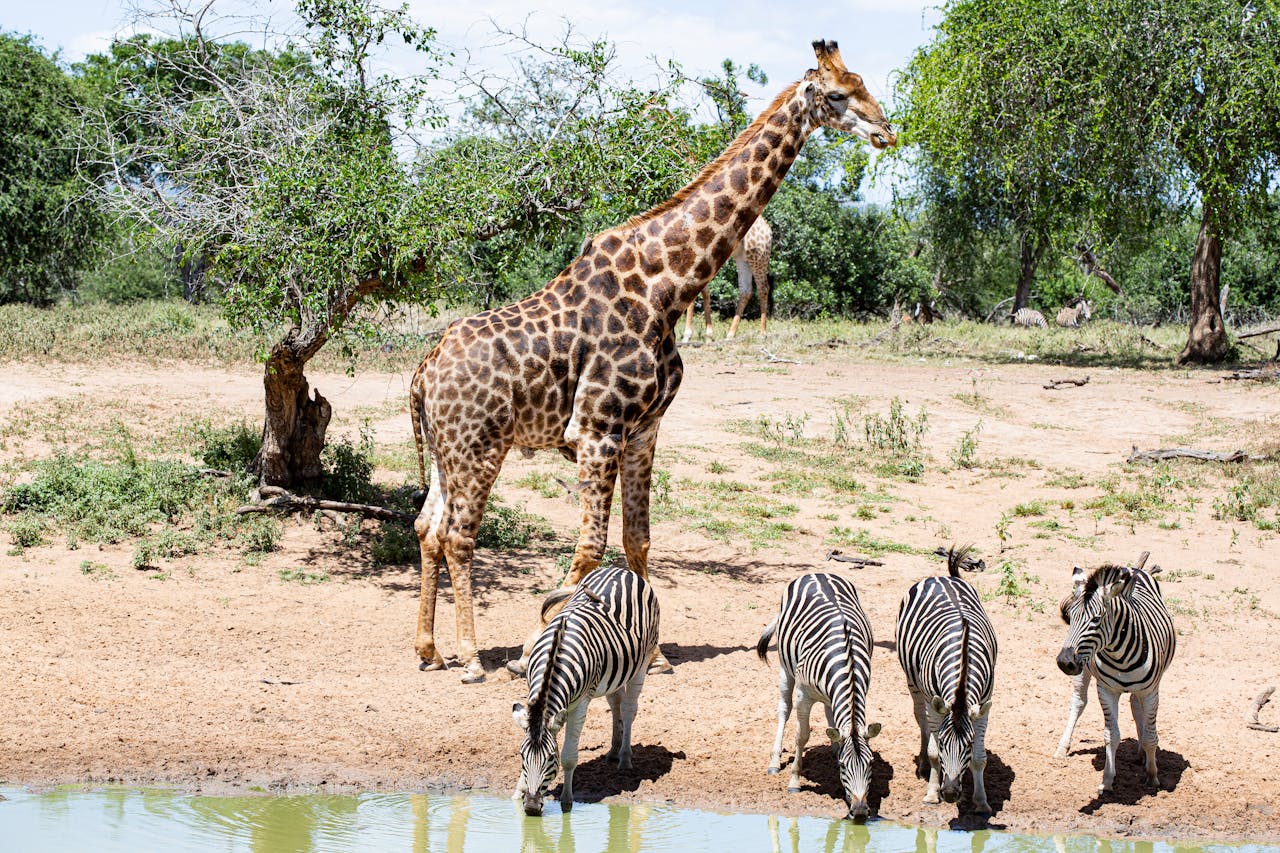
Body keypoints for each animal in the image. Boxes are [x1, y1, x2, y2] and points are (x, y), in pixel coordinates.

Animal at [409, 40, 896, 683]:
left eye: (864, 84)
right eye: (839, 94)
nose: (887, 131)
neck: (669, 286)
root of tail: (423, 372)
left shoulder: (644, 430)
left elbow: (637, 539)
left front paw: (656, 654)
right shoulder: (595, 430)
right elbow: (590, 547)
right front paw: (536, 645)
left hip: (448, 449)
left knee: (427, 527)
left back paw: (429, 648)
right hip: (480, 445)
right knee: (460, 535)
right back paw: (469, 656)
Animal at [512, 565, 660, 816]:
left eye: (550, 758)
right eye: (522, 756)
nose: (531, 807)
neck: (555, 658)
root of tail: (621, 569)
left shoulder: (580, 704)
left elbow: (570, 757)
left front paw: (566, 801)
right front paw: (516, 795)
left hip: (644, 659)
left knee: (629, 708)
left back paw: (624, 759)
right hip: (615, 670)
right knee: (615, 703)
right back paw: (613, 751)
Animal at [757, 573, 881, 821]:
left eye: (871, 764)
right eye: (844, 766)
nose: (860, 812)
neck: (847, 660)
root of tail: (816, 573)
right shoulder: (803, 696)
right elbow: (801, 736)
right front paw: (794, 781)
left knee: (830, 713)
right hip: (785, 668)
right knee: (783, 710)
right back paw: (774, 761)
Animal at [895, 546, 998, 813]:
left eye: (969, 745)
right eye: (942, 743)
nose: (950, 793)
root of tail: (943, 577)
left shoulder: (983, 705)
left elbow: (980, 759)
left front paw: (981, 801)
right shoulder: (935, 703)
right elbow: (933, 753)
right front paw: (932, 794)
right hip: (914, 684)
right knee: (920, 718)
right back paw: (922, 763)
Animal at [1056, 562, 1176, 793]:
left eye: (1096, 619)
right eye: (1071, 617)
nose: (1064, 662)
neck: (1121, 657)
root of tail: (1134, 568)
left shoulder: (1151, 691)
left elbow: (1151, 736)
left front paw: (1152, 776)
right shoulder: (1107, 690)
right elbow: (1111, 735)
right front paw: (1107, 779)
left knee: (1136, 706)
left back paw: (1142, 754)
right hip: (1084, 669)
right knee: (1078, 702)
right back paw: (1062, 748)